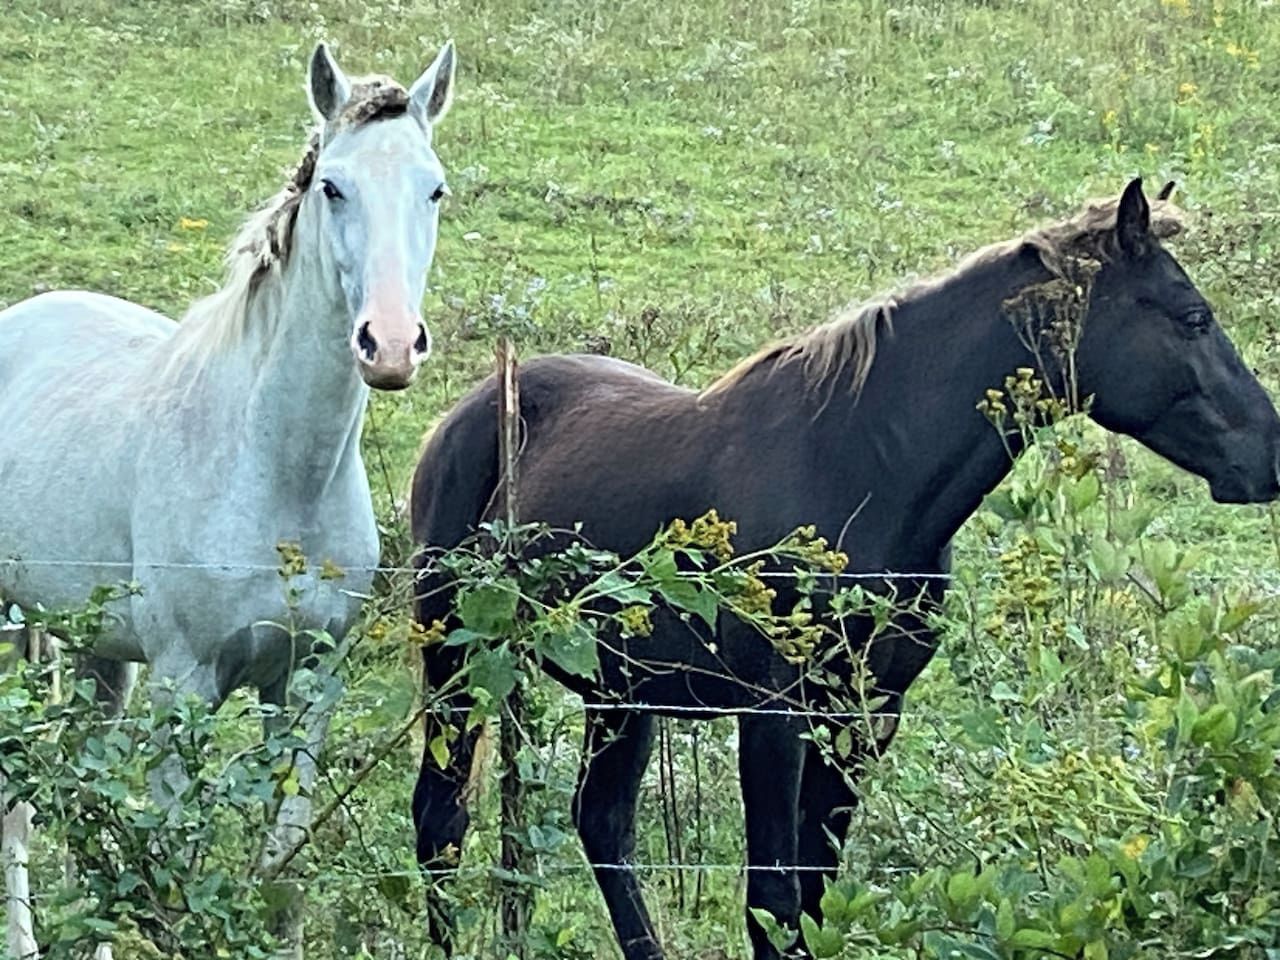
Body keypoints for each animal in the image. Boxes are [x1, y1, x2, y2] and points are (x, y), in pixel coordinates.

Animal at [0, 40, 457, 960]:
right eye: (333, 187)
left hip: (96, 654)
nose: (390, 345)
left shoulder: (308, 684)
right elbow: (177, 868)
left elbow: (280, 867)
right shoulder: (185, 687)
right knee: (20, 803)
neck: (272, 472)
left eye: (434, 188)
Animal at [407, 178, 1280, 960]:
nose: (1266, 457)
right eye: (1193, 317)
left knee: (602, 825)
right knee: (441, 820)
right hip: (457, 658)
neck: (861, 467)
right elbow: (773, 899)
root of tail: (471, 411)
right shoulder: (776, 714)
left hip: (619, 689)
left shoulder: (865, 716)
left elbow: (816, 895)